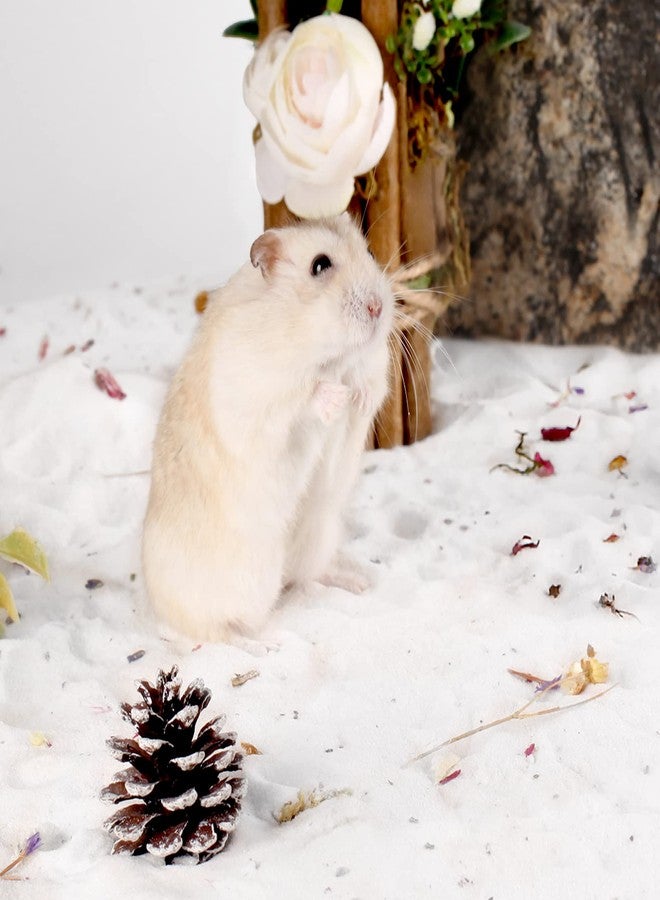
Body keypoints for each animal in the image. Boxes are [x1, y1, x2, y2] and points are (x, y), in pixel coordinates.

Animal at [141, 213, 394, 642]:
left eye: (372, 253)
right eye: (320, 266)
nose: (378, 306)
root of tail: (156, 604)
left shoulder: (374, 367)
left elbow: (370, 384)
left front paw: (355, 396)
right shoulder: (255, 389)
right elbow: (301, 395)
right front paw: (335, 397)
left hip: (320, 536)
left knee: (308, 575)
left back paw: (357, 584)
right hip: (239, 587)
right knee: (215, 632)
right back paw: (264, 646)